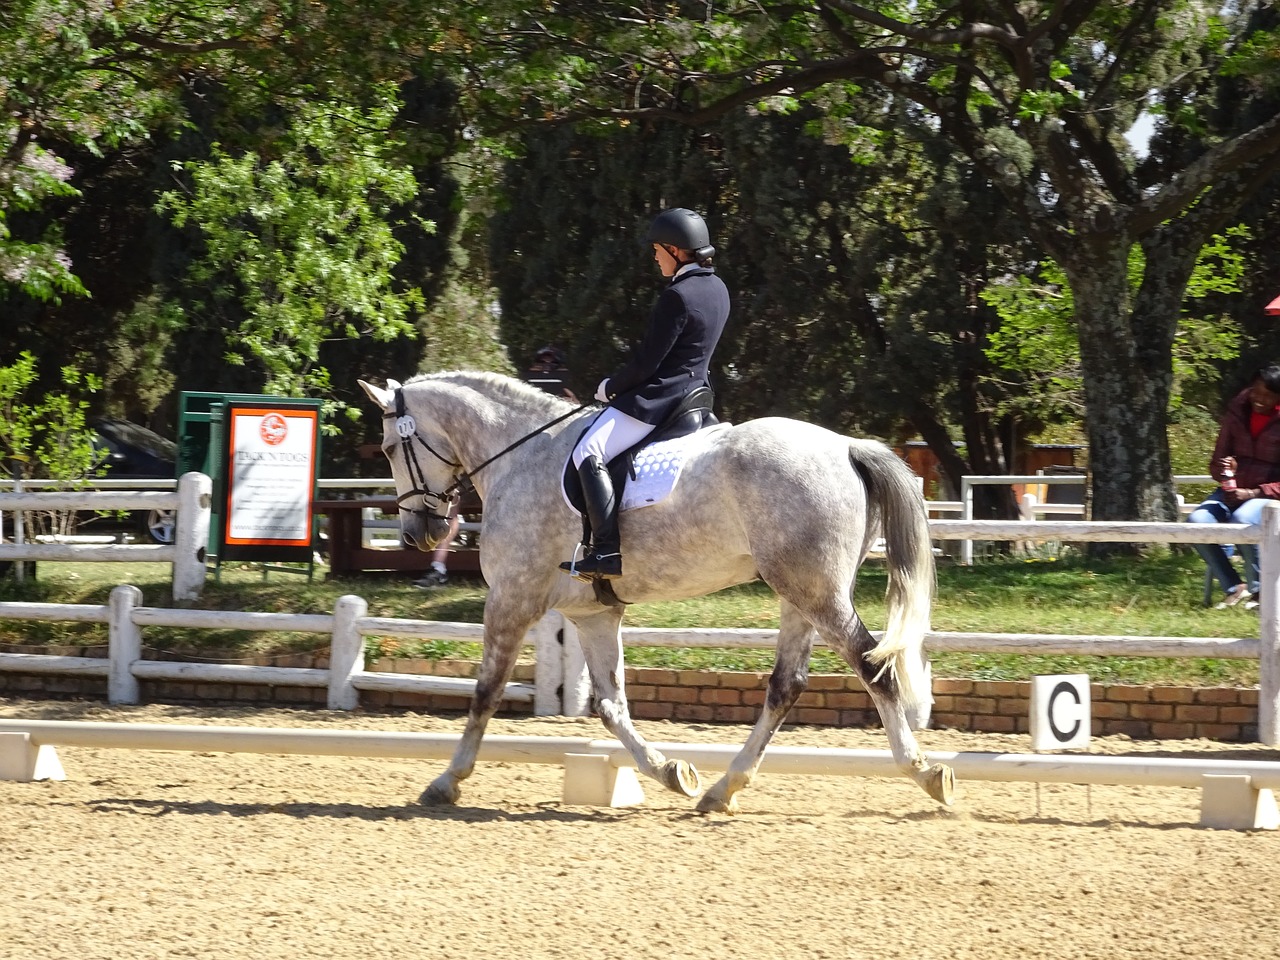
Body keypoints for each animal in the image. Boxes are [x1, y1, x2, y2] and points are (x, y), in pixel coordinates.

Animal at [358, 371, 954, 814]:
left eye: (388, 447)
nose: (417, 535)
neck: (519, 456)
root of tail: (850, 447)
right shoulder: (591, 614)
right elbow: (610, 705)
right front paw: (671, 771)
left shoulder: (510, 597)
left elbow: (485, 691)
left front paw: (446, 781)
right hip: (799, 593)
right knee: (787, 685)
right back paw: (721, 789)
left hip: (816, 593)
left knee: (871, 666)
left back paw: (924, 772)